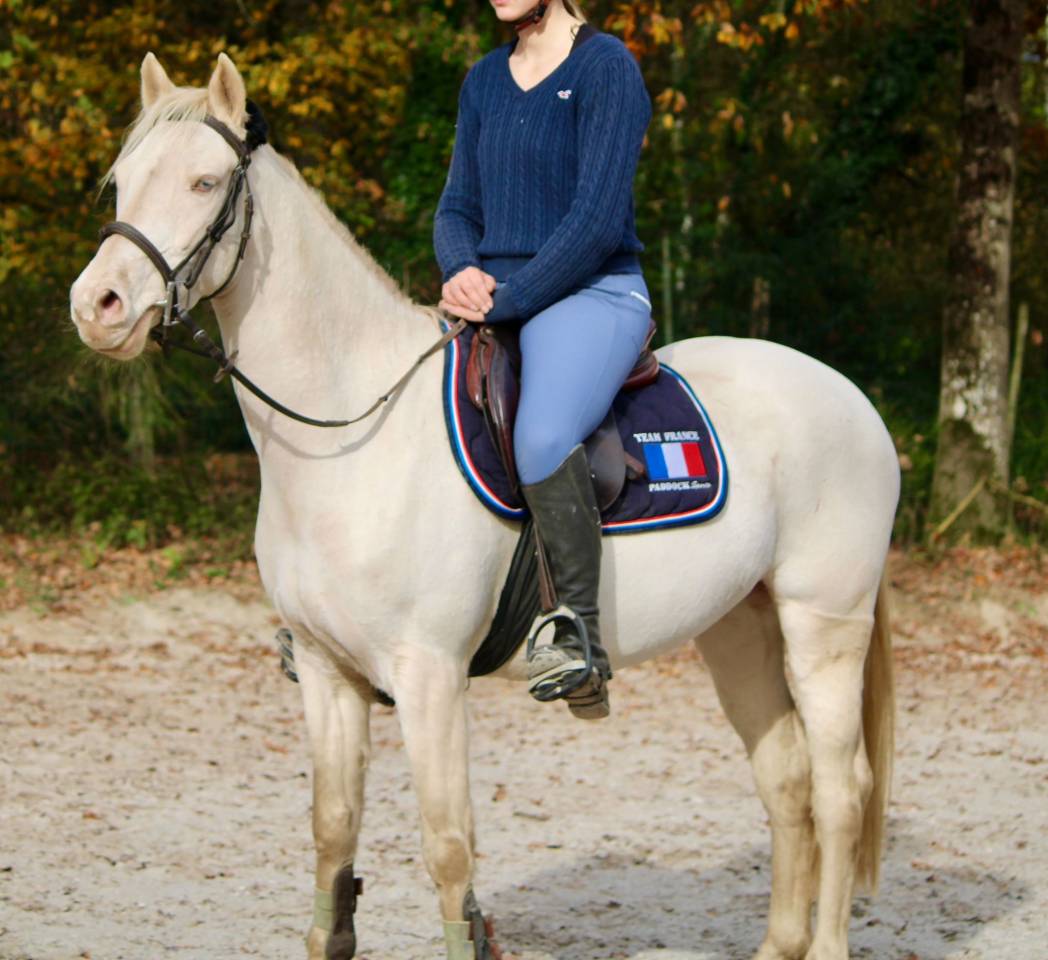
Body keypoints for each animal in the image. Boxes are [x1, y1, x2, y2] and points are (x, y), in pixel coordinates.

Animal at [69, 53, 899, 960]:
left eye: (205, 181)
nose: (97, 306)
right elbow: (333, 833)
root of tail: (846, 395)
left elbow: (448, 848)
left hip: (823, 625)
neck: (350, 433)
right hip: (739, 627)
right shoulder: (326, 673)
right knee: (787, 778)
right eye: (121, 181)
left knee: (840, 789)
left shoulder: (429, 676)